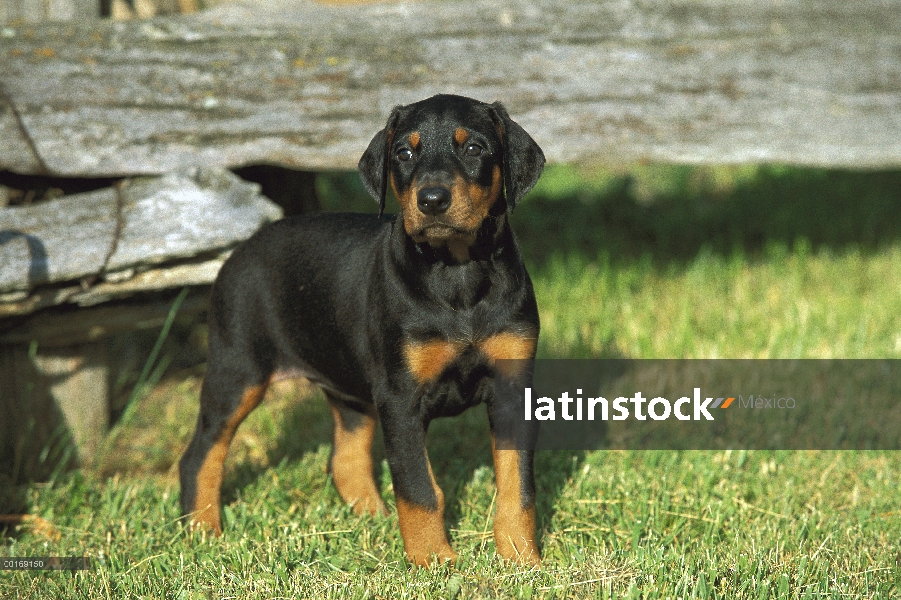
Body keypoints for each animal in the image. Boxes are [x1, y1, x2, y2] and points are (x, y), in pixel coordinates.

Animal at [176, 94, 540, 568]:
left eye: (474, 148)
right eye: (403, 153)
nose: (432, 200)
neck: (457, 273)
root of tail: (238, 252)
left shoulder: (513, 388)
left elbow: (518, 485)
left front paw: (522, 558)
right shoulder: (401, 397)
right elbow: (419, 489)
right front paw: (435, 561)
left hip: (349, 388)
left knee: (344, 459)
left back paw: (372, 519)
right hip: (237, 372)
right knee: (201, 453)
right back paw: (203, 531)